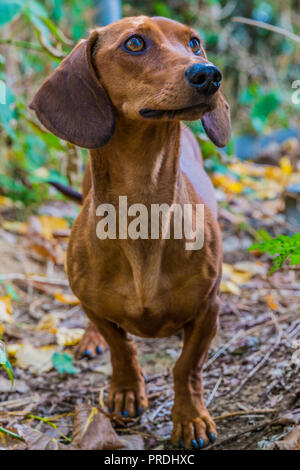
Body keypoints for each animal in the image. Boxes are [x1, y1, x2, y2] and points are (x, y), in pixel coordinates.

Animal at [29, 15, 230, 448]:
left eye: (194, 43)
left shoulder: (209, 309)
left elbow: (187, 367)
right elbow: (120, 347)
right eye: (135, 43)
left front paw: (190, 418)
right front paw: (125, 391)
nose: (208, 74)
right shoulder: (93, 304)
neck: (143, 207)